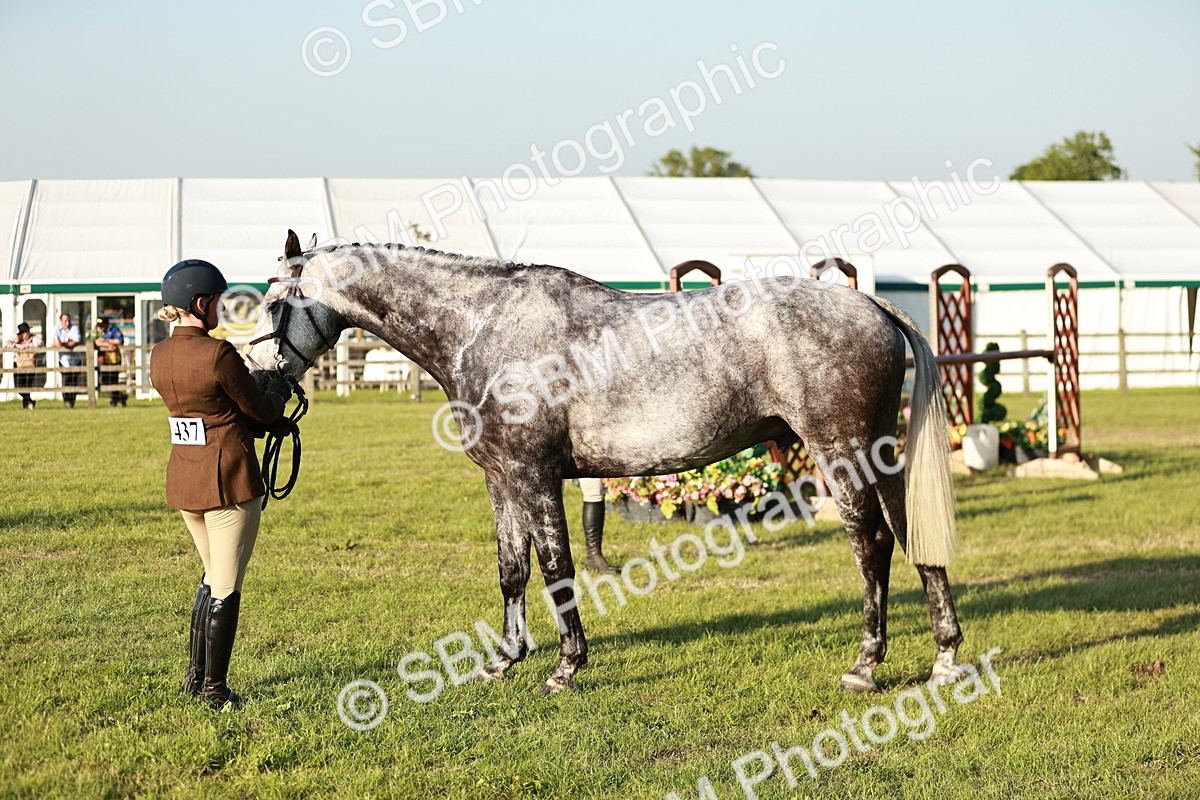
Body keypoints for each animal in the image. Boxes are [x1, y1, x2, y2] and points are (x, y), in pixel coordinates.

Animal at [245, 230, 965, 695]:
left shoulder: (535, 476)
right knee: (912, 538)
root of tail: (869, 302)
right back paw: (944, 655)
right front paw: (503, 660)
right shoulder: (501, 479)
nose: (262, 379)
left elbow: (557, 570)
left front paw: (566, 667)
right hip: (879, 458)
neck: (482, 323)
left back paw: (866, 666)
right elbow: (511, 571)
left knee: (872, 546)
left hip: (841, 453)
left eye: (275, 301)